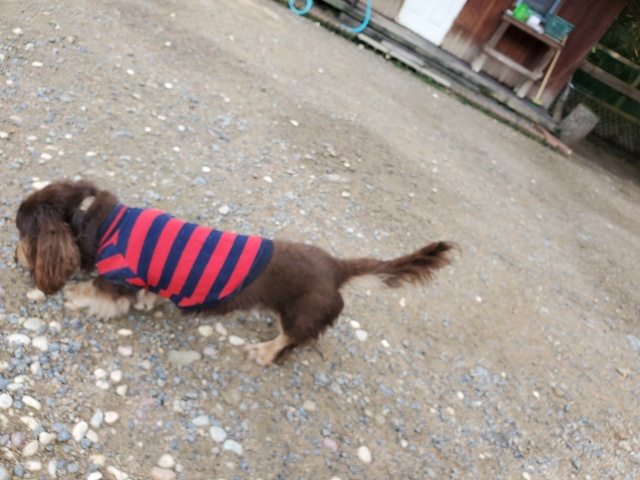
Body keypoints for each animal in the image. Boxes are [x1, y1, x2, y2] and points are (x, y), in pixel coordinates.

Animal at [15, 180, 455, 365]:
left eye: (21, 232)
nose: (16, 258)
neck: (94, 221)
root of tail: (336, 266)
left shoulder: (117, 277)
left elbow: (97, 292)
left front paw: (75, 295)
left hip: (300, 312)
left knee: (289, 341)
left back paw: (264, 351)